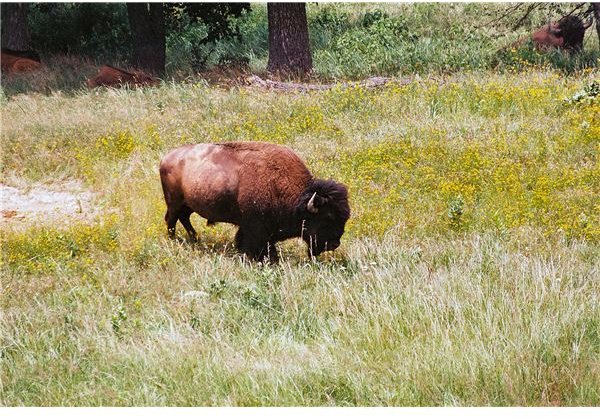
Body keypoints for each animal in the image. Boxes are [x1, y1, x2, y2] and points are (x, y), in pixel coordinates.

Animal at [159, 142, 352, 262]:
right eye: (327, 217)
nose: (334, 244)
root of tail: (166, 157)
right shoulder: (256, 228)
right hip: (174, 202)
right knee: (171, 220)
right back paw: (174, 241)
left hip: (187, 204)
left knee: (183, 218)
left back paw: (195, 239)